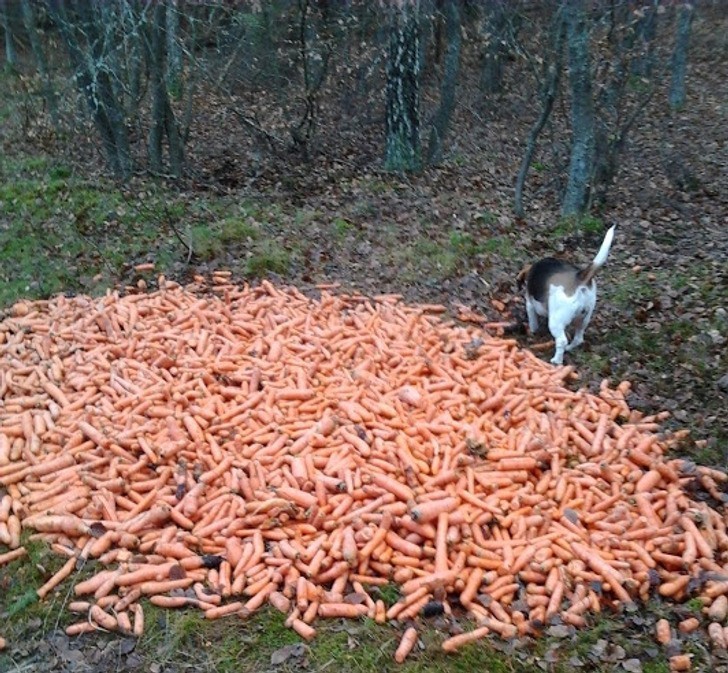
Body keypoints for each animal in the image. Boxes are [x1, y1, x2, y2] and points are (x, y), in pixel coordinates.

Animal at [516, 224, 616, 362]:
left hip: (556, 321)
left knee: (562, 341)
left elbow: (533, 322)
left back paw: (556, 360)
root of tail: (580, 278)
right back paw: (569, 348)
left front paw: (532, 331)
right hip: (584, 318)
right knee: (579, 338)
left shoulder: (530, 305)